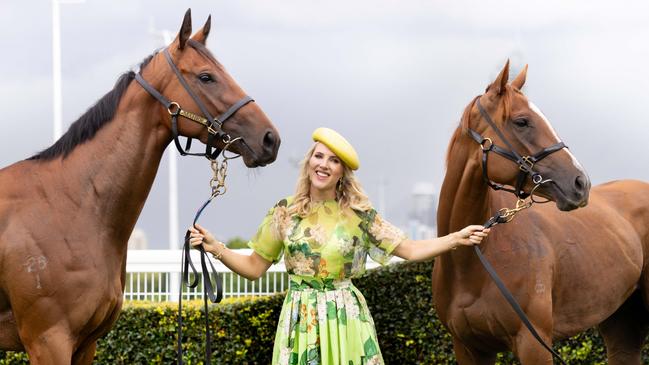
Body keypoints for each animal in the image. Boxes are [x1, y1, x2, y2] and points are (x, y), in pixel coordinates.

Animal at [432, 61, 649, 362]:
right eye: (522, 121)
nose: (580, 183)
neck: (471, 264)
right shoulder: (468, 349)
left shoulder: (533, 343)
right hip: (621, 321)